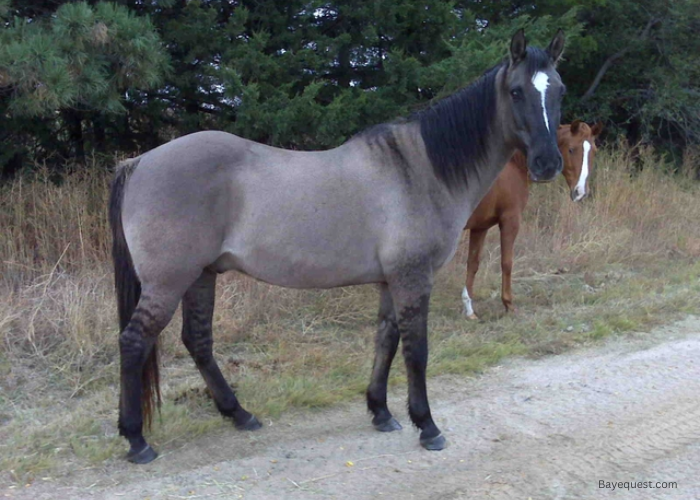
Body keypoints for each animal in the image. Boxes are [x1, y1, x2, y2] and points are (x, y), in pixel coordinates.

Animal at [110, 29, 568, 462]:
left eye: (559, 90)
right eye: (516, 91)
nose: (547, 163)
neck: (418, 169)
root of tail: (139, 162)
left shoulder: (390, 280)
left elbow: (386, 340)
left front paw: (381, 412)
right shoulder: (413, 277)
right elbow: (416, 351)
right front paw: (427, 426)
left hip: (201, 275)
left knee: (198, 341)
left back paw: (240, 414)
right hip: (169, 281)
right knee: (133, 343)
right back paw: (137, 440)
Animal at [460, 119, 600, 318]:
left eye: (594, 151)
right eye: (571, 149)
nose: (580, 192)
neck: (511, 166)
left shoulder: (480, 227)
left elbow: (473, 264)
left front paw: (469, 309)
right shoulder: (510, 221)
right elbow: (507, 262)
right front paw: (508, 304)